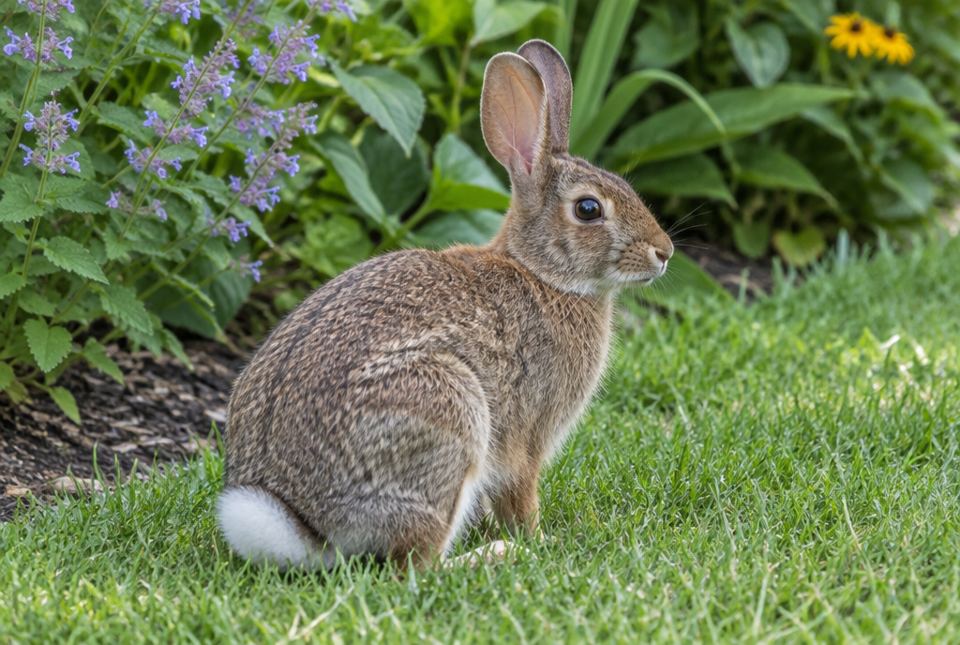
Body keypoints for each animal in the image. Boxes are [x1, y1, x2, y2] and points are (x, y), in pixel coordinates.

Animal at [217, 39, 674, 570]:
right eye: (588, 209)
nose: (664, 252)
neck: (543, 274)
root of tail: (307, 527)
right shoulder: (527, 439)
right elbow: (522, 496)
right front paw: (540, 541)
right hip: (449, 415)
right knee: (419, 564)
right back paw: (494, 554)